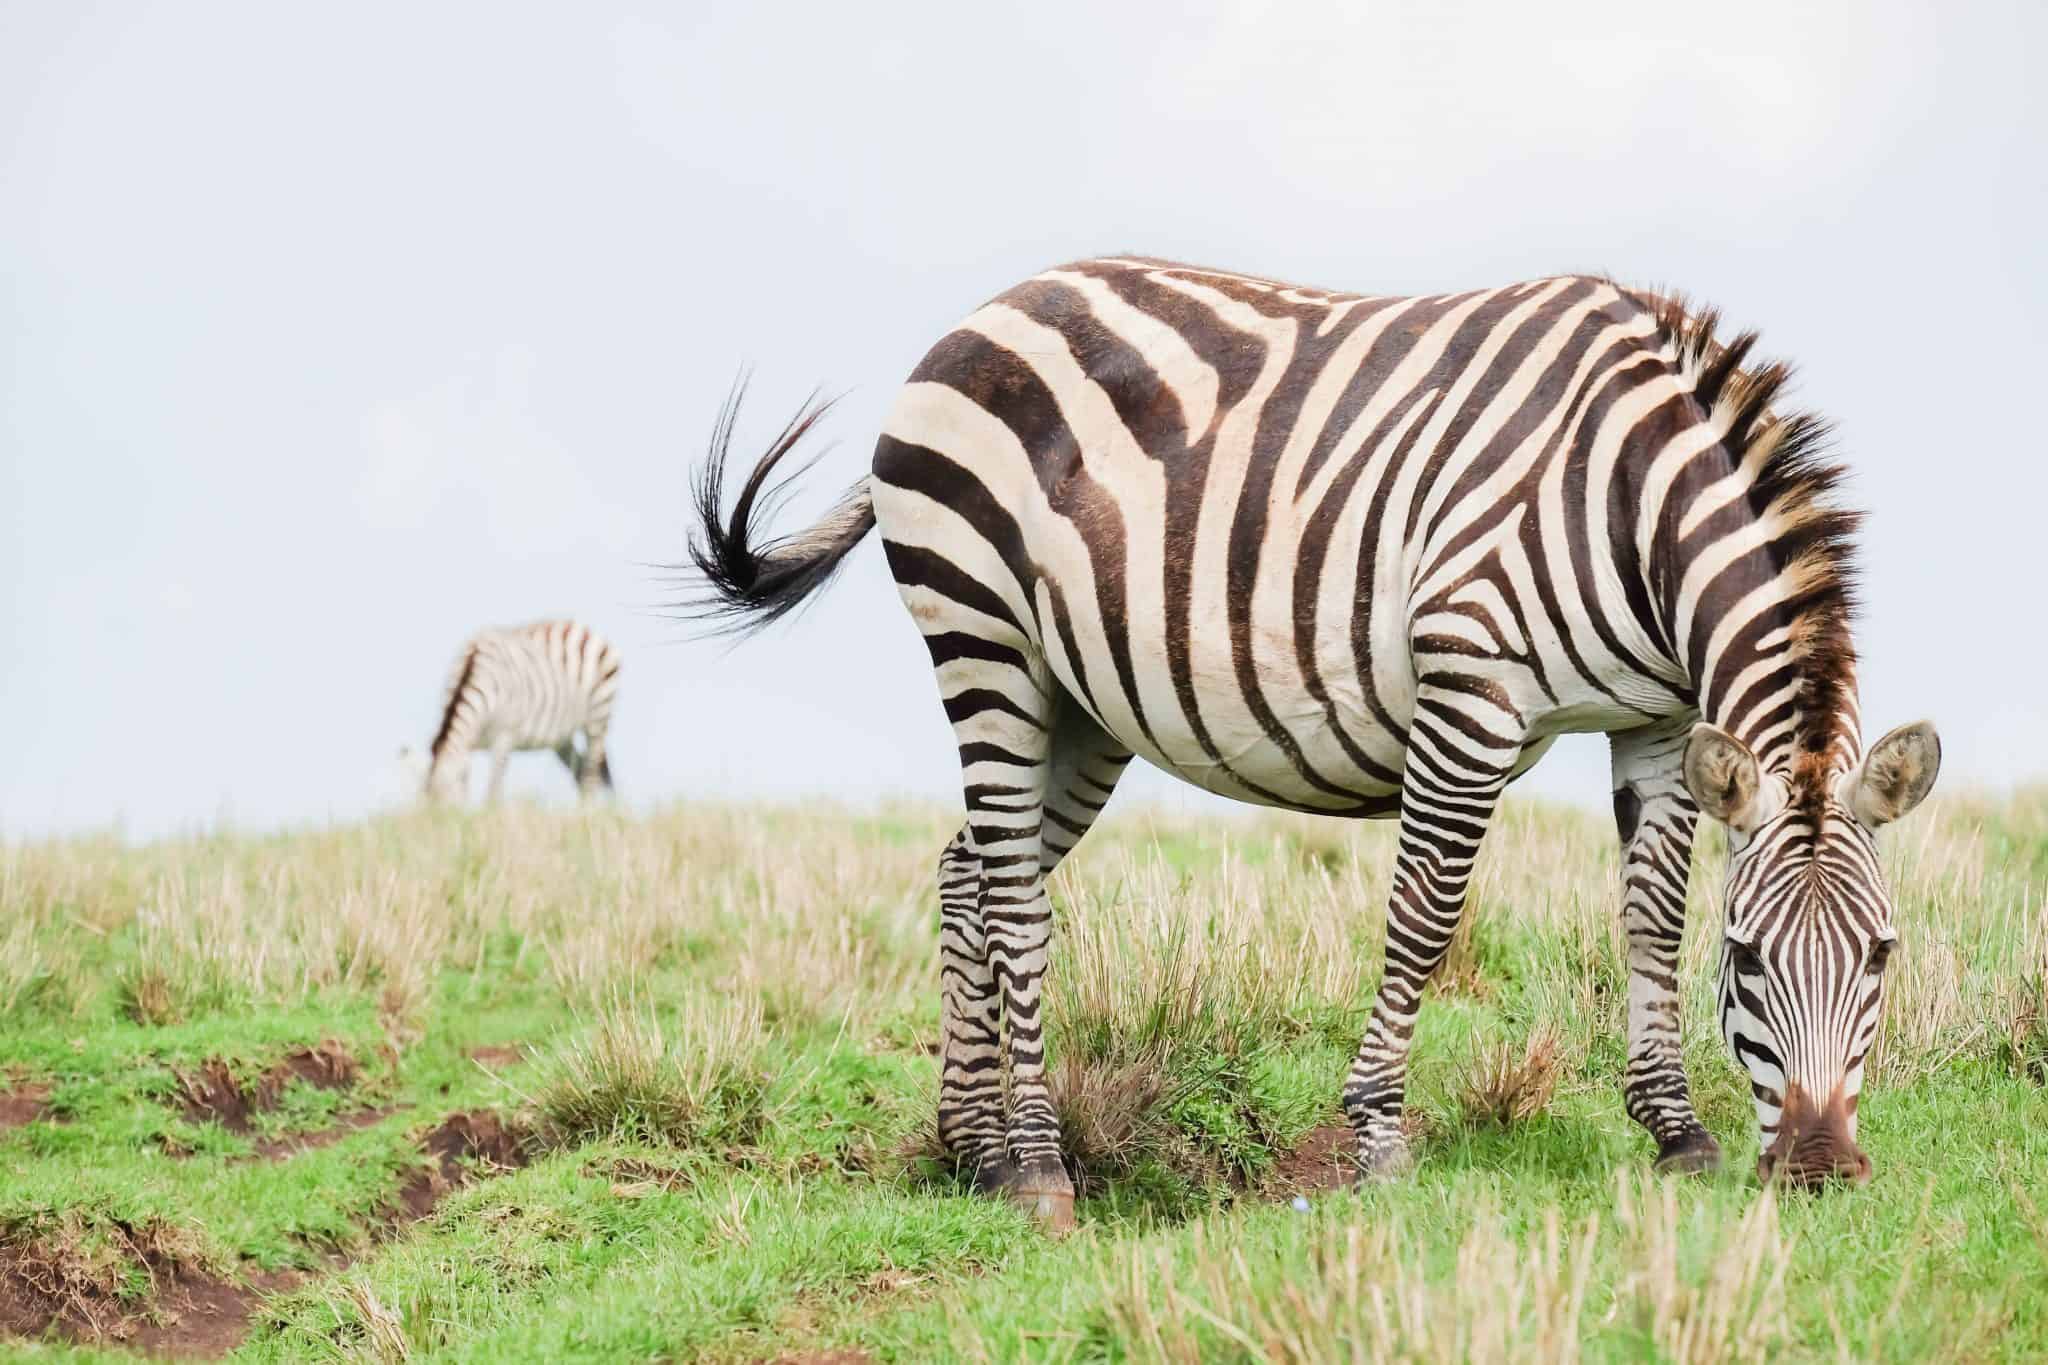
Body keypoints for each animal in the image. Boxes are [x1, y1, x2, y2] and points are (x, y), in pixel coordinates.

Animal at [399, 618, 618, 802]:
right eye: (422, 806)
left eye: (446, 803)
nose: (441, 822)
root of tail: (579, 626)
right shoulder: (469, 744)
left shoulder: (504, 737)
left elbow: (493, 793)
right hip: (562, 738)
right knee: (579, 771)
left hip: (598, 721)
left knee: (591, 775)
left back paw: (586, 813)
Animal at [679, 258, 1941, 1227]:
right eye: (1749, 962)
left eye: (1881, 956)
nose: (1819, 1174)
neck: (1632, 500)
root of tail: (978, 313)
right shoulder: (1468, 688)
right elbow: (1425, 913)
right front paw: (1377, 1135)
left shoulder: (1657, 722)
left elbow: (1645, 917)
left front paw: (1674, 1133)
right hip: (979, 636)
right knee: (1014, 901)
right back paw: (1034, 1166)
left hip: (1076, 701)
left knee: (968, 875)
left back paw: (968, 1148)